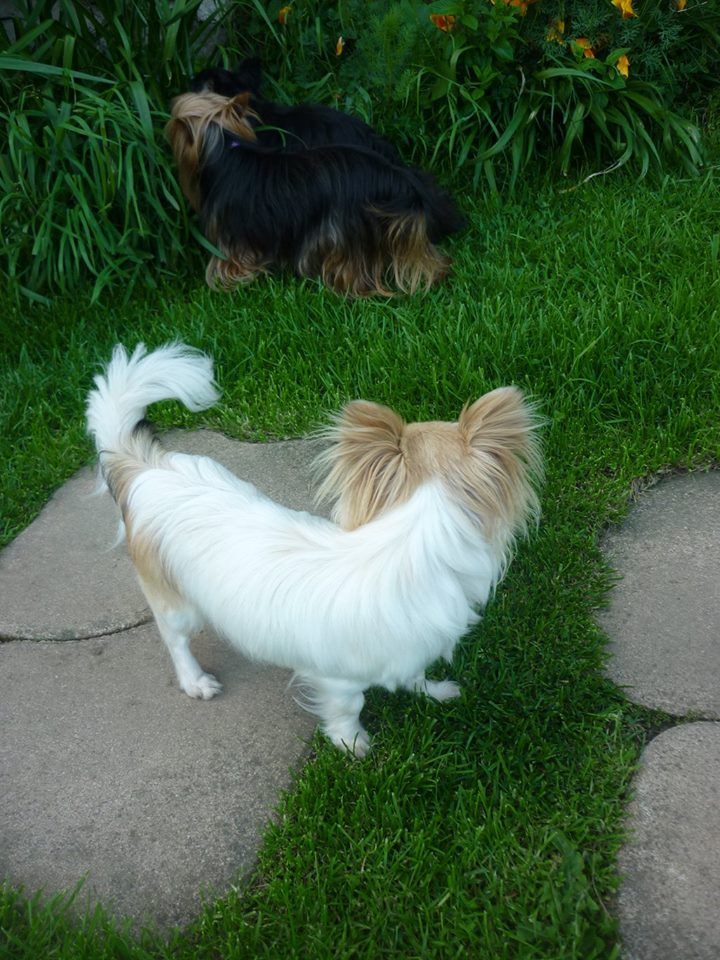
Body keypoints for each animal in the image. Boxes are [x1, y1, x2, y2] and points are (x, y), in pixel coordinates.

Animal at [86, 342, 540, 752]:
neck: (413, 536)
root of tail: (144, 470)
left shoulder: (410, 648)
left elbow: (413, 674)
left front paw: (435, 692)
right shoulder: (337, 680)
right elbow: (348, 708)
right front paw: (353, 746)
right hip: (176, 604)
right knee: (175, 640)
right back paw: (195, 681)